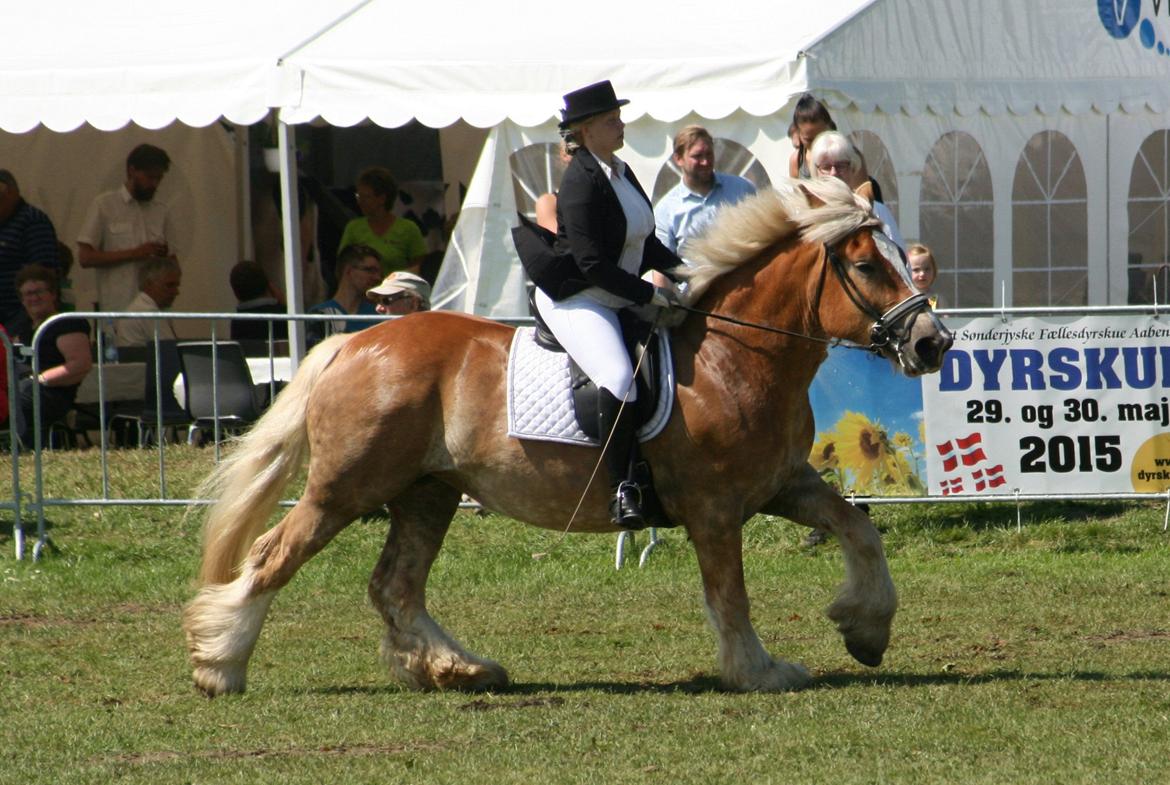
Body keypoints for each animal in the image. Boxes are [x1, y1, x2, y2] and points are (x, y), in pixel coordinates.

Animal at [180, 176, 950, 692]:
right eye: (865, 265)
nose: (933, 343)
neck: (737, 357)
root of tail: (354, 343)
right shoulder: (714, 507)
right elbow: (729, 592)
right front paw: (758, 668)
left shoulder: (782, 483)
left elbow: (859, 528)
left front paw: (865, 628)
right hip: (347, 487)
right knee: (275, 555)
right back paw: (222, 665)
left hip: (428, 492)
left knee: (394, 584)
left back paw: (457, 666)